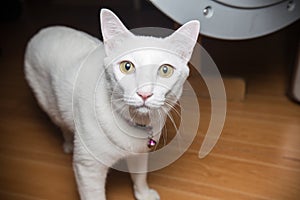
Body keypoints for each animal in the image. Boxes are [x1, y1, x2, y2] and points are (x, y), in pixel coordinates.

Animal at [24, 8, 200, 199]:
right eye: (127, 67)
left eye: (165, 70)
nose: (144, 93)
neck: (134, 125)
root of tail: (44, 31)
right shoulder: (88, 169)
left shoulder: (139, 153)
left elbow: (140, 175)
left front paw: (143, 194)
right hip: (49, 103)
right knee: (61, 123)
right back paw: (69, 143)